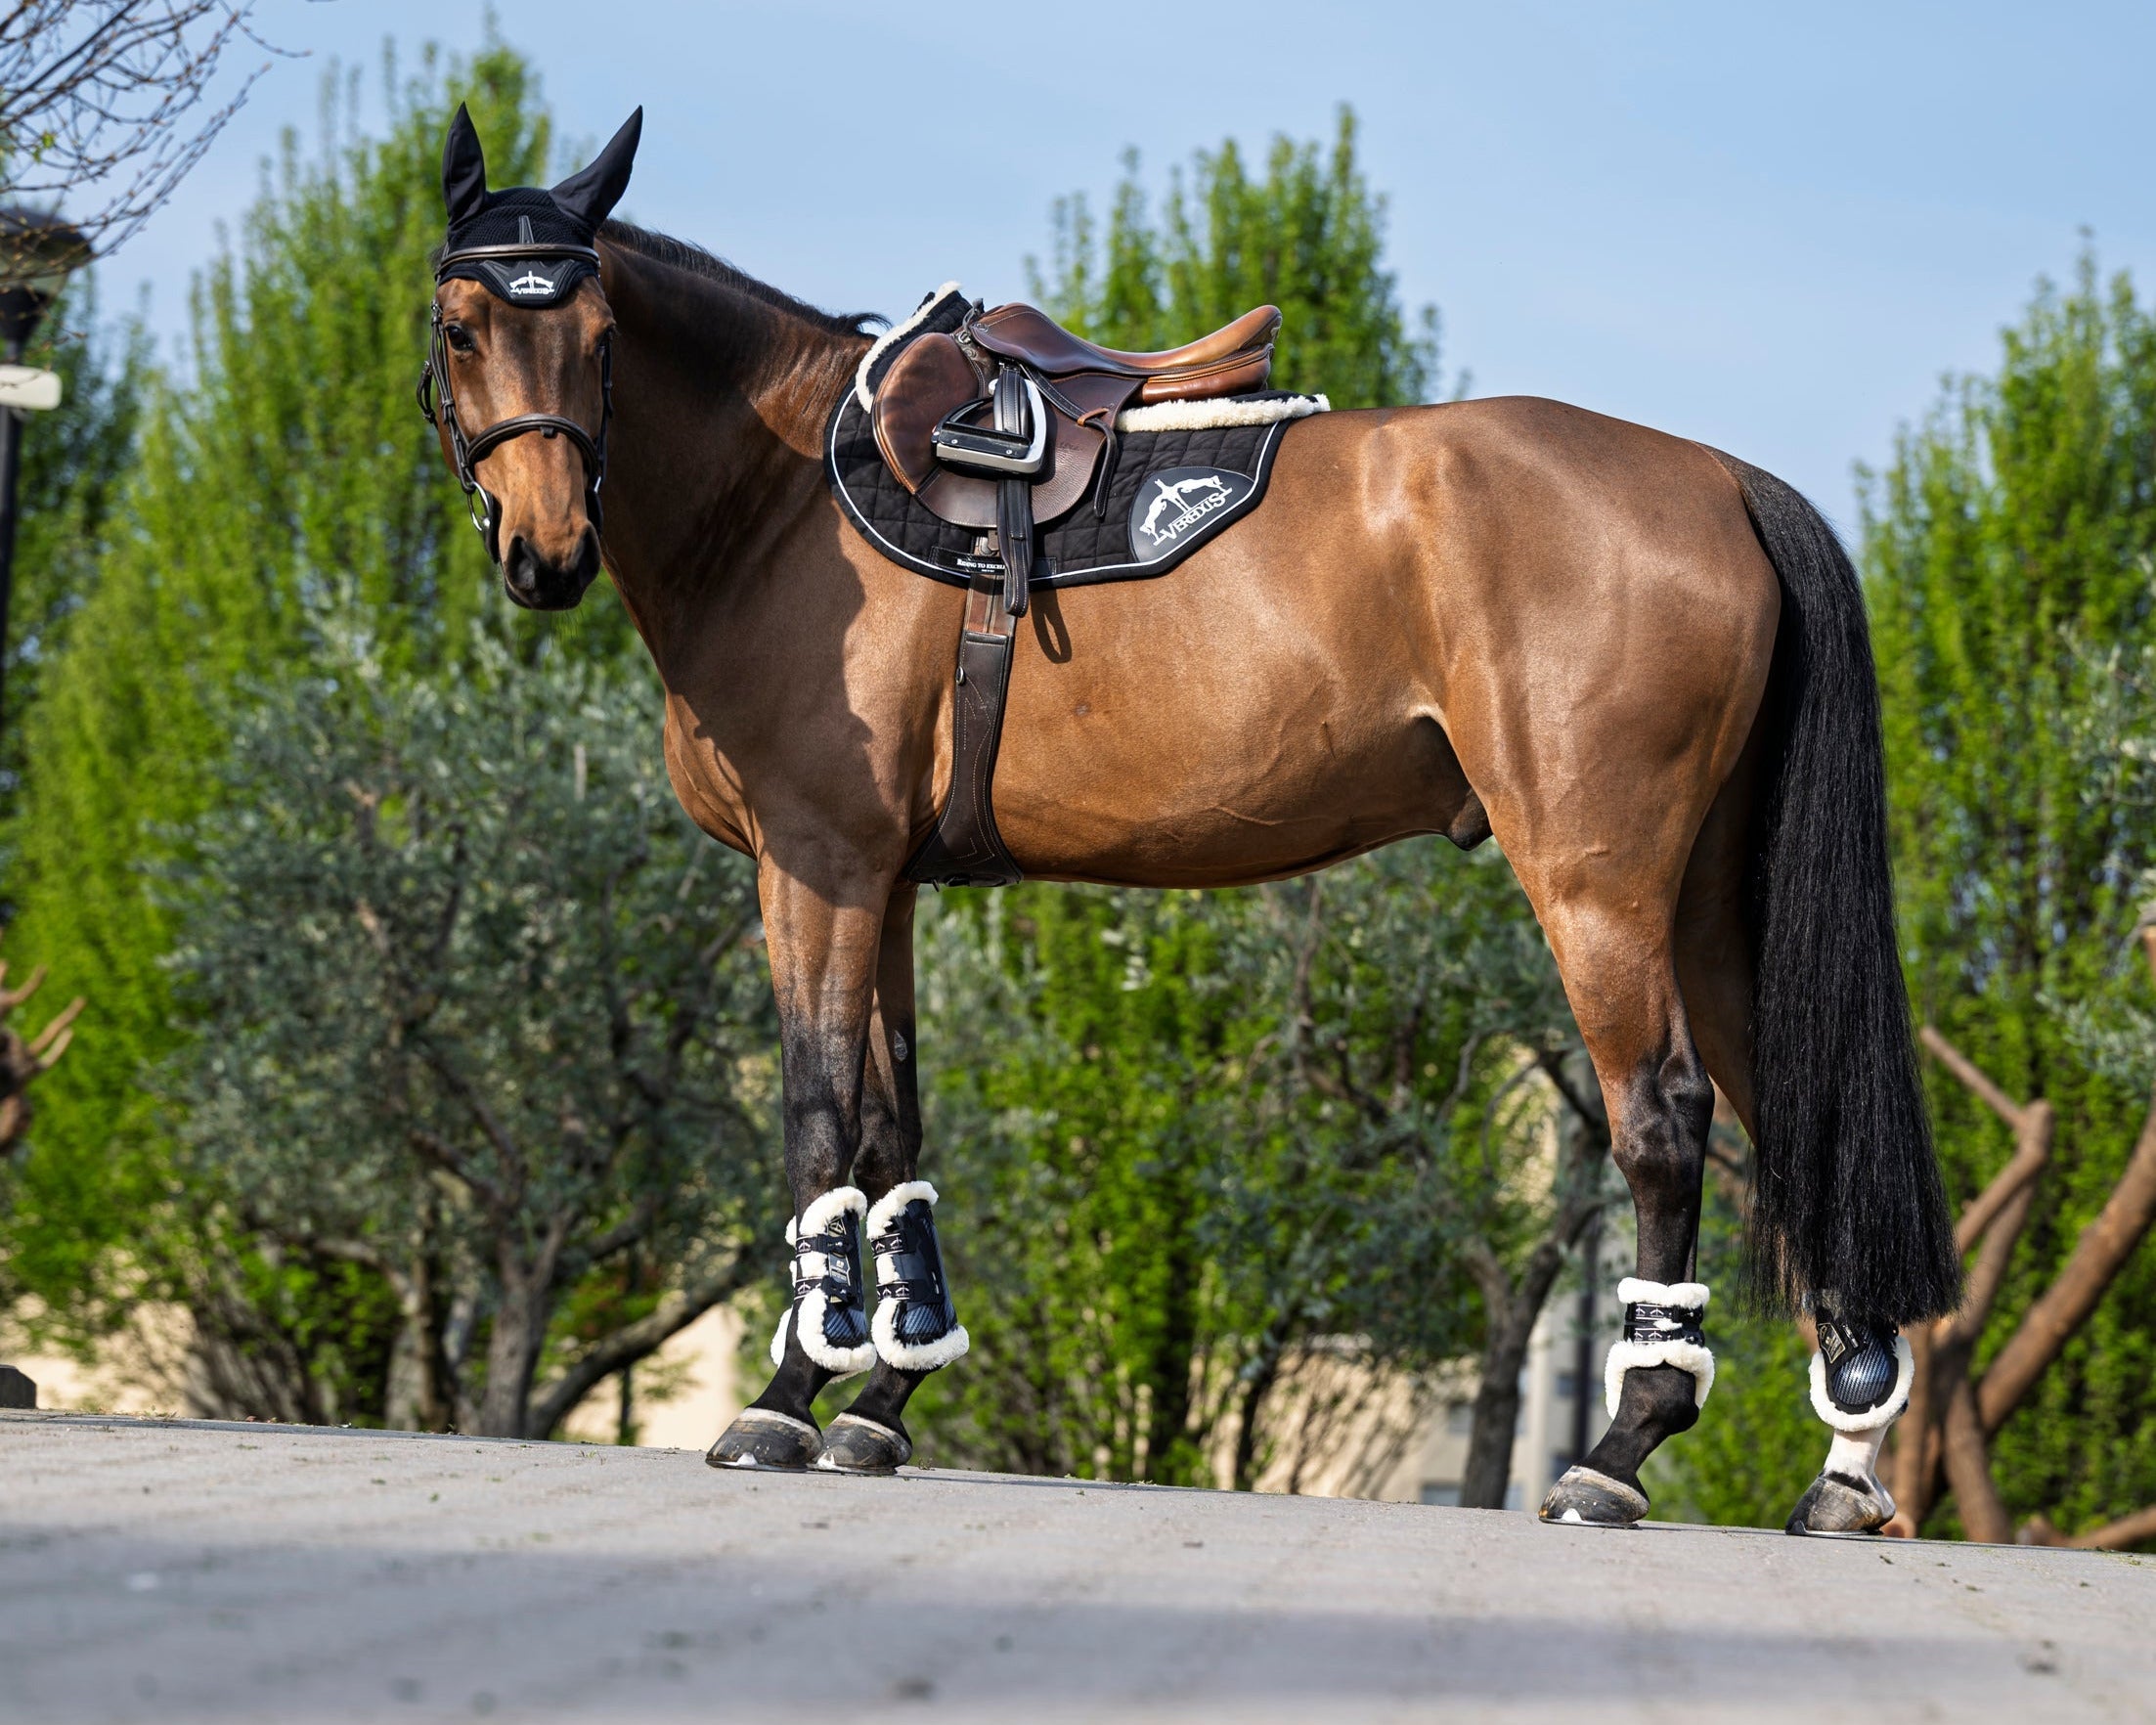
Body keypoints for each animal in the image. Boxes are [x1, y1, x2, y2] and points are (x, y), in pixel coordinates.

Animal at [421, 106, 1960, 1531]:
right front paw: (883, 1401)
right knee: (1794, 1115)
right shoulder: (887, 881)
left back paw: (1618, 1449)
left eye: (599, 331)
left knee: (1665, 1119)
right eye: (460, 327)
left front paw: (790, 1398)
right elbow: (890, 1134)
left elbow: (817, 1120)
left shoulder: (817, 866)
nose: (545, 554)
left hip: (1598, 885)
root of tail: (1720, 478)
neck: (787, 500)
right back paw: (1842, 1469)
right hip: (1706, 901)